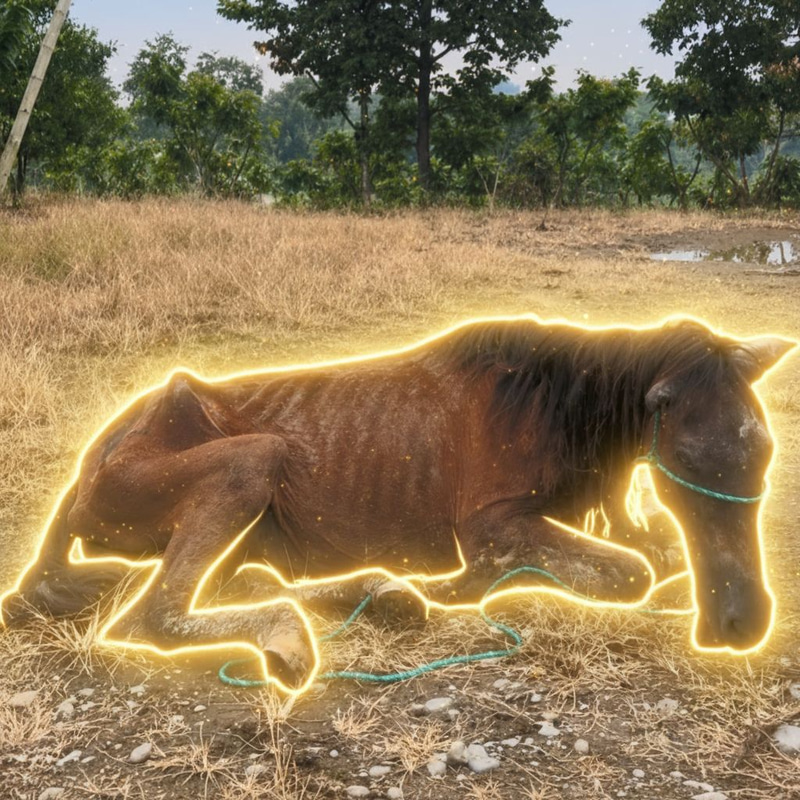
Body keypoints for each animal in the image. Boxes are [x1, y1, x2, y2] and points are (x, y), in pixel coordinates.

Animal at [0, 315, 794, 693]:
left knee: (239, 580)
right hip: (253, 464)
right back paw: (298, 634)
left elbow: (654, 550)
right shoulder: (492, 523)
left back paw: (385, 595)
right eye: (687, 458)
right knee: (156, 616)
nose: (741, 622)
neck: (557, 409)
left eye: (764, 454)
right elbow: (632, 571)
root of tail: (87, 469)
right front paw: (472, 585)